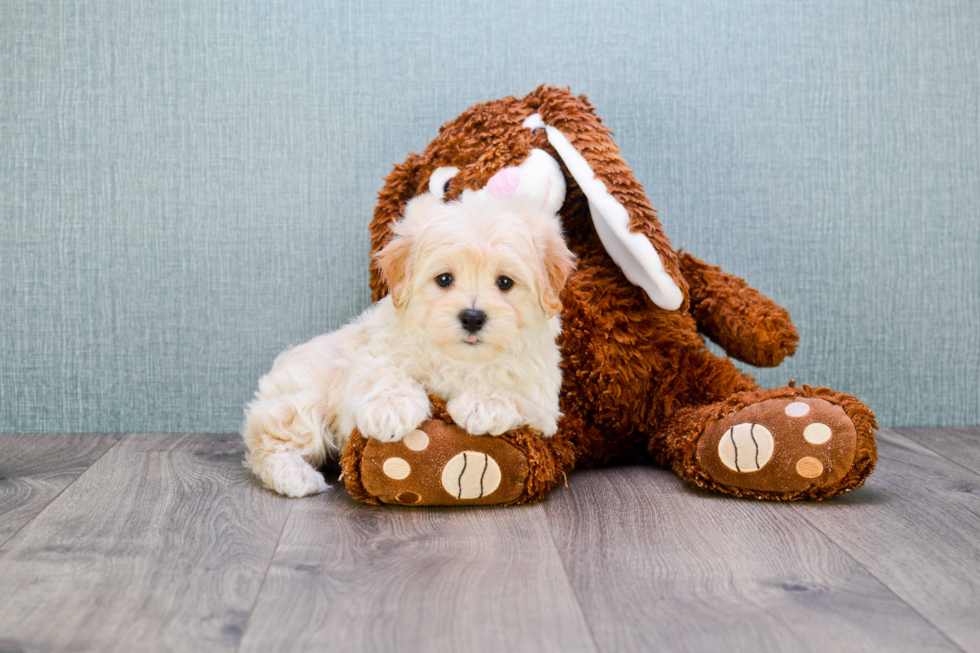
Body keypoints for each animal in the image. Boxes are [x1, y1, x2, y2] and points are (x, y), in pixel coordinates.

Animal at [243, 154, 576, 500]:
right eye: (444, 279)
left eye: (505, 283)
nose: (472, 317)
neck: (460, 360)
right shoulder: (370, 351)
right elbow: (381, 372)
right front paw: (392, 408)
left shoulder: (543, 397)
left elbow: (518, 390)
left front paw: (484, 403)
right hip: (301, 400)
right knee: (270, 443)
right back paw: (296, 477)